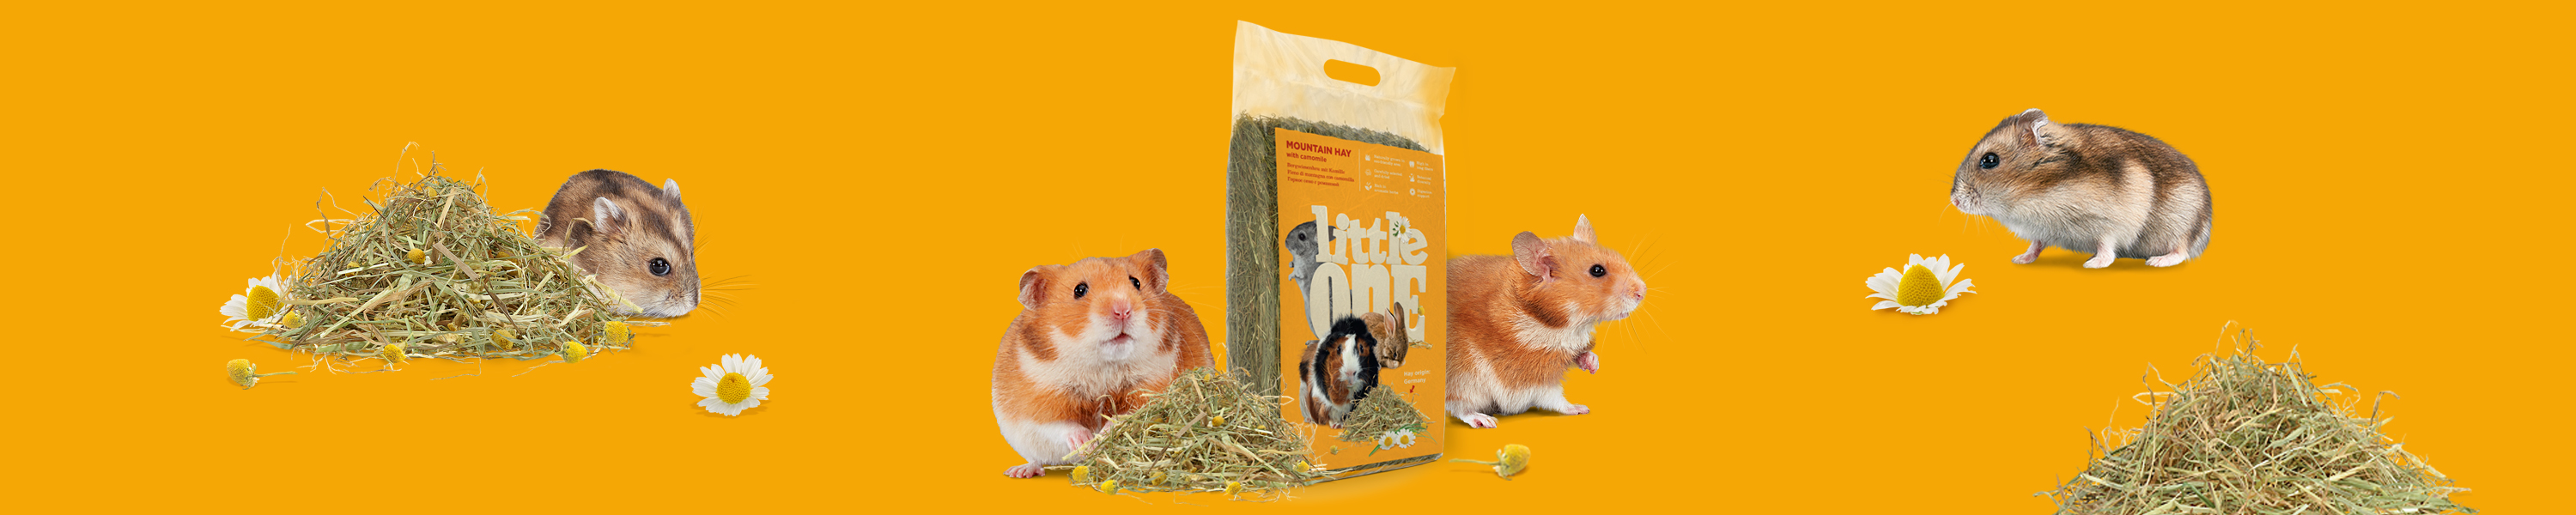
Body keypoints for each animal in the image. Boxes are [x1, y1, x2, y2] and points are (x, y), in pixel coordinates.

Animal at [991, 249, 1214, 478]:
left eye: (1136, 282)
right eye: (1079, 290)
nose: (1123, 311)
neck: (1103, 365)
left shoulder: (1150, 387)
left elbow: (1129, 416)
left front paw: (1103, 437)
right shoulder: (1037, 405)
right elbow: (1061, 426)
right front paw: (1087, 444)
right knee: (1036, 457)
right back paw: (1020, 471)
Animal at [1298, 317, 1381, 427]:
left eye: (1362, 348)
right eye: (1338, 348)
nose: (1350, 373)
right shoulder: (1323, 401)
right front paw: (1336, 425)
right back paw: (1310, 420)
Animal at [1445, 215, 1644, 429]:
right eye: (1597, 270)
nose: (1643, 291)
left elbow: (1582, 355)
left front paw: (1592, 366)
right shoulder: (1530, 376)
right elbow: (1553, 397)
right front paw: (1580, 409)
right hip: (1464, 383)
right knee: (1460, 407)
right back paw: (1485, 420)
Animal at [1949, 109, 2214, 268]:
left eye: (1990, 160)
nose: (1954, 201)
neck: (2035, 194)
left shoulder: (2113, 222)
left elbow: (2106, 244)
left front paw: (2092, 264)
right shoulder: (2040, 230)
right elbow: (2036, 244)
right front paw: (2020, 259)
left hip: (2182, 222)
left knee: (2181, 250)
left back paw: (2156, 261)